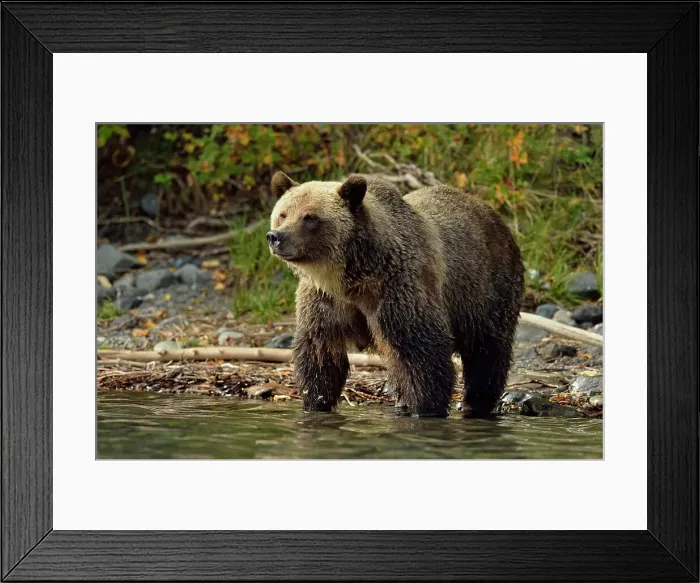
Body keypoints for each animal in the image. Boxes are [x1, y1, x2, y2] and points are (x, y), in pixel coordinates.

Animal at [268, 171, 524, 417]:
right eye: (283, 214)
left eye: (310, 217)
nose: (276, 236)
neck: (351, 277)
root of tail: (490, 210)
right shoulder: (325, 300)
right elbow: (320, 352)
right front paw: (316, 402)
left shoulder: (399, 289)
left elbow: (421, 352)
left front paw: (427, 408)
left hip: (487, 289)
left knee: (487, 351)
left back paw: (476, 402)